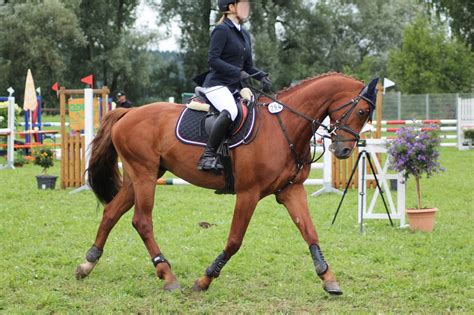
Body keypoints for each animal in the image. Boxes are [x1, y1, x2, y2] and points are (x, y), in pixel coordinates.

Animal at [75, 73, 378, 296]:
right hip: (145, 176)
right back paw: (167, 275)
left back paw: (87, 264)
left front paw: (329, 278)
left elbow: (310, 233)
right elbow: (234, 241)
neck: (285, 126)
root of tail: (128, 113)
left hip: (139, 177)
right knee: (142, 221)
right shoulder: (248, 193)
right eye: (362, 110)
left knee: (111, 212)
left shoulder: (290, 191)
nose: (343, 151)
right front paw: (204, 280)